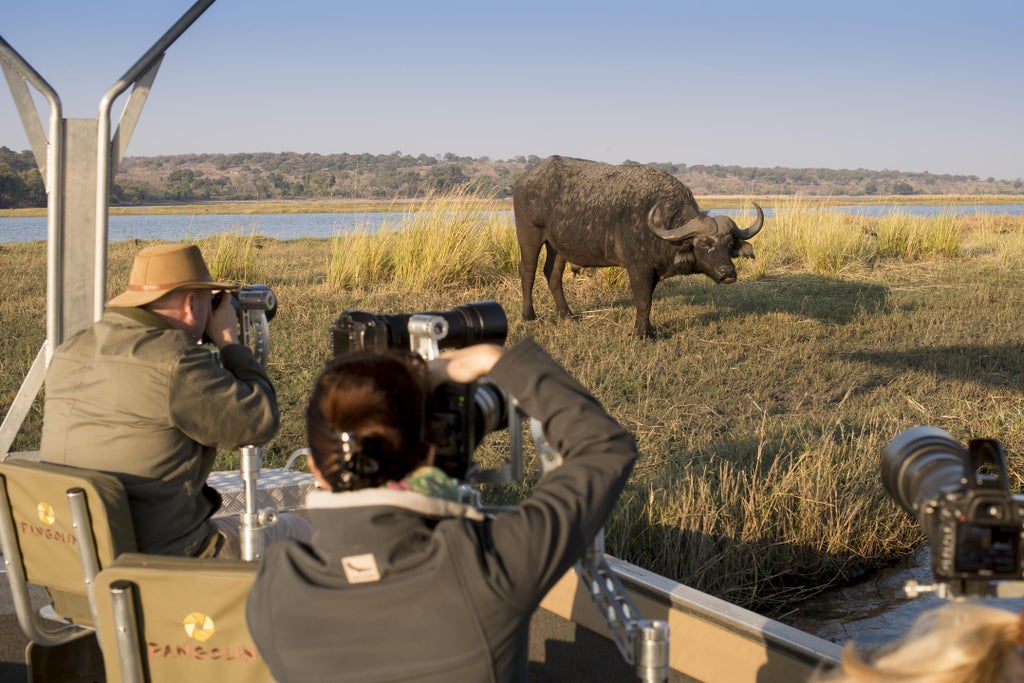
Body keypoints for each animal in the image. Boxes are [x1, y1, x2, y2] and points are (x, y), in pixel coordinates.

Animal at [516, 154, 765, 335]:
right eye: (704, 243)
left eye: (729, 243)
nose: (727, 272)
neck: (662, 223)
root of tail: (524, 179)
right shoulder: (638, 268)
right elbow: (643, 301)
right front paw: (642, 333)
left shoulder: (653, 271)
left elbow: (648, 301)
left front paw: (647, 329)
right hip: (529, 235)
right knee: (528, 272)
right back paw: (529, 316)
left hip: (558, 246)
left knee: (553, 274)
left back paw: (567, 314)